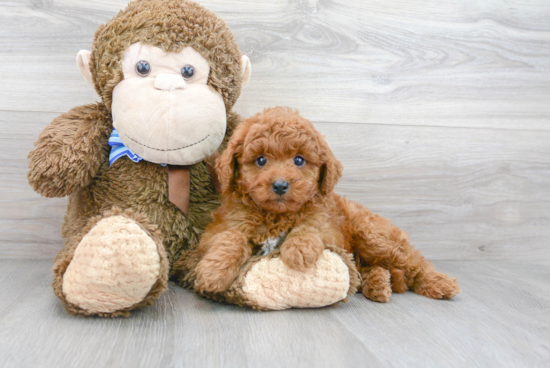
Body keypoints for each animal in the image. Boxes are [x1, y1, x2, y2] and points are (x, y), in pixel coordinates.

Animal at [194, 106, 462, 302]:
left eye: (299, 160)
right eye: (260, 160)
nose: (280, 185)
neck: (277, 215)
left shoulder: (329, 228)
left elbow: (310, 226)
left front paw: (299, 249)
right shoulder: (216, 230)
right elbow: (231, 237)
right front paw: (213, 273)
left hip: (371, 237)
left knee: (413, 262)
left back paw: (438, 282)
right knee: (372, 268)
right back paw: (378, 285)